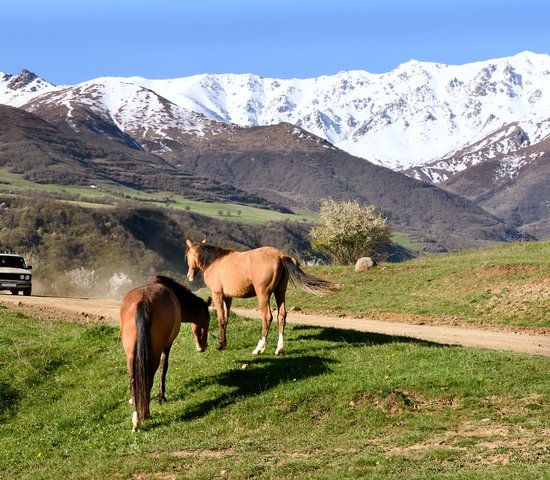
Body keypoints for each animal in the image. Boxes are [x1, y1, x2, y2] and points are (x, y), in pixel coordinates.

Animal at [119, 274, 212, 432]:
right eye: (208, 318)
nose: (202, 346)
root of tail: (143, 301)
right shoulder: (167, 345)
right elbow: (164, 367)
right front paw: (161, 397)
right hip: (154, 354)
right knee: (149, 377)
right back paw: (146, 414)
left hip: (130, 355)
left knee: (133, 380)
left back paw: (136, 419)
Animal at [185, 240, 336, 356]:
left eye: (187, 256)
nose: (189, 276)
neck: (215, 262)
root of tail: (280, 255)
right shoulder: (228, 298)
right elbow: (226, 319)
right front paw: (224, 343)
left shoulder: (218, 295)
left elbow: (221, 319)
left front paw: (220, 345)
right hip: (280, 292)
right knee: (281, 315)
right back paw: (279, 348)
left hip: (263, 294)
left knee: (267, 317)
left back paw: (259, 348)